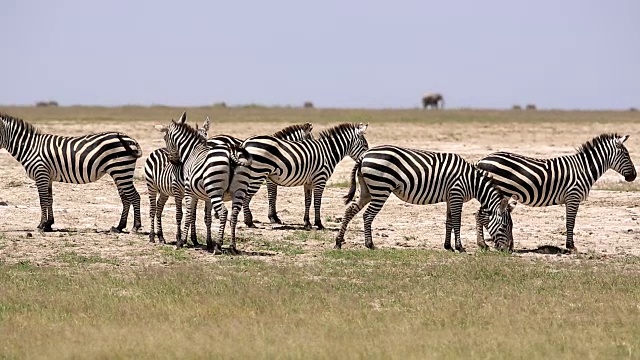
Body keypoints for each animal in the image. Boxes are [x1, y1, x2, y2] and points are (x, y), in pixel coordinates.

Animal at [0, 112, 142, 232]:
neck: (30, 148)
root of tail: (132, 140)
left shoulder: (41, 173)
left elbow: (43, 200)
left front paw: (41, 225)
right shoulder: (48, 177)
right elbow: (49, 199)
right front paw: (49, 224)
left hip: (121, 170)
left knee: (134, 196)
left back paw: (136, 227)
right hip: (119, 172)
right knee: (126, 198)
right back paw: (119, 227)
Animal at [145, 116, 210, 245]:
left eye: (206, 137)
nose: (174, 162)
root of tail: (158, 149)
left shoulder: (193, 194)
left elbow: (193, 215)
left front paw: (194, 239)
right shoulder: (177, 191)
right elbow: (179, 214)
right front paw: (179, 237)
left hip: (164, 191)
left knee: (159, 208)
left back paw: (161, 236)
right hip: (151, 186)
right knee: (153, 209)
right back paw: (152, 236)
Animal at [155, 112, 252, 253]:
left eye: (165, 138)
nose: (174, 161)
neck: (192, 151)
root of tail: (231, 154)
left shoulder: (189, 191)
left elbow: (189, 214)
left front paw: (182, 241)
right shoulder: (206, 197)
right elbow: (207, 218)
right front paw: (208, 242)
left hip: (215, 190)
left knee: (223, 212)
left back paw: (218, 246)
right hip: (239, 191)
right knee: (234, 215)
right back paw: (232, 247)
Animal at [332, 145, 516, 252]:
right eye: (504, 226)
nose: (508, 250)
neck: (472, 181)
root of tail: (364, 156)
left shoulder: (450, 197)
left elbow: (449, 221)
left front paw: (448, 246)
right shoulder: (457, 194)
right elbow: (457, 221)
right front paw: (460, 247)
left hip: (367, 190)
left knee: (350, 210)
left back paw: (339, 242)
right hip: (381, 189)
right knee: (367, 215)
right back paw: (369, 245)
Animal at [476, 133, 636, 253]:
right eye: (626, 154)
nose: (634, 176)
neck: (584, 169)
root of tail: (481, 160)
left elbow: (569, 222)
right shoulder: (573, 196)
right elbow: (570, 222)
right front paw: (571, 246)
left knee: (481, 214)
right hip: (496, 192)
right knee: (481, 215)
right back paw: (483, 244)